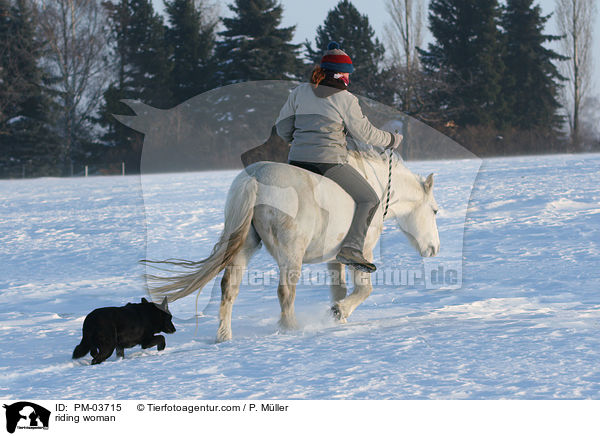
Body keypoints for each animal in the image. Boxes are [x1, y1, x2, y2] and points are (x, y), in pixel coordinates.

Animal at [143, 151, 438, 344]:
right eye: (435, 210)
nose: (434, 248)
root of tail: (256, 178)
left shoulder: (336, 257)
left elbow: (339, 289)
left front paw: (338, 316)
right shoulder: (362, 252)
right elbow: (364, 289)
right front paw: (340, 312)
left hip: (243, 247)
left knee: (229, 288)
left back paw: (224, 336)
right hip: (291, 254)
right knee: (285, 291)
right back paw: (291, 329)